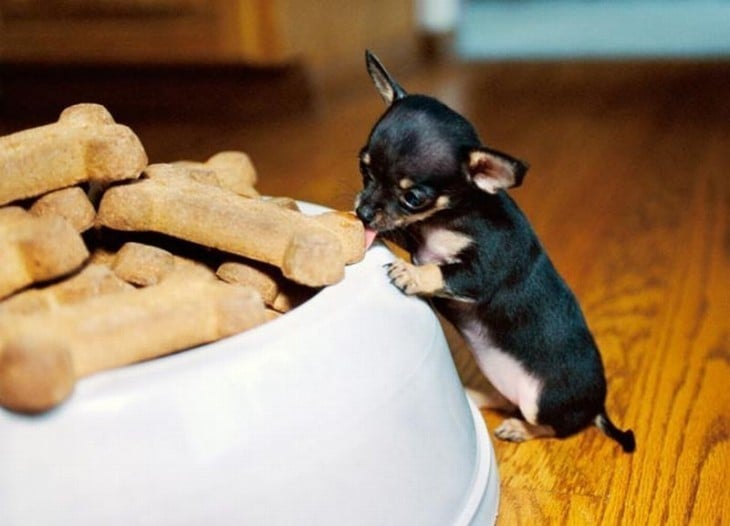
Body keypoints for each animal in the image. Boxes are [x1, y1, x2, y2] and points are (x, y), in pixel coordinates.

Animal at [356, 50, 636, 454]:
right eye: (364, 169)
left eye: (413, 197)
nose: (362, 212)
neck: (454, 214)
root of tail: (596, 407)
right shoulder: (417, 235)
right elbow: (404, 234)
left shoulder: (484, 267)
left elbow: (443, 270)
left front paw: (412, 274)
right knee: (506, 398)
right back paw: (476, 394)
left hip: (542, 400)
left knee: (550, 425)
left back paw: (519, 428)